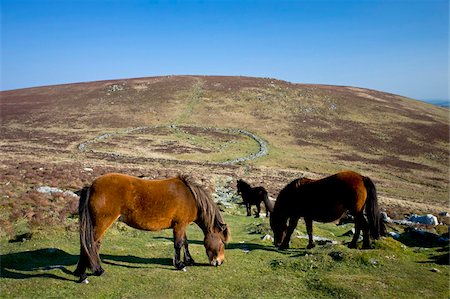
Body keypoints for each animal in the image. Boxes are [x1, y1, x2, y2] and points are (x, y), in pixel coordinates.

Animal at [74, 173, 230, 284]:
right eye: (222, 242)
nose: (220, 262)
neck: (190, 197)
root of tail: (92, 186)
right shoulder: (180, 225)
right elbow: (178, 243)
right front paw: (180, 265)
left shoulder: (182, 225)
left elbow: (185, 242)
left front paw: (189, 260)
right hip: (102, 223)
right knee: (90, 244)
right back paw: (86, 274)